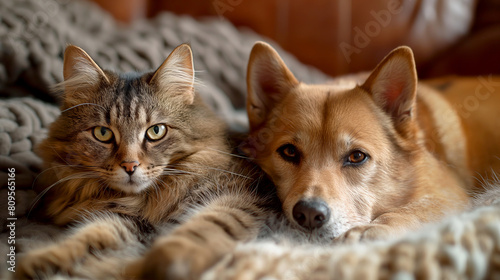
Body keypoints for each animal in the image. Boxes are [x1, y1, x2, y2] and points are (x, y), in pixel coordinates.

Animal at [17, 43, 276, 280]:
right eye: (103, 133)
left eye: (156, 131)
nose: (130, 166)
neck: (150, 200)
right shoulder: (133, 223)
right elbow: (89, 235)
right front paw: (39, 263)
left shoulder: (241, 196)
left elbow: (201, 230)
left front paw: (151, 266)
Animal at [242, 42, 500, 243]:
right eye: (289, 152)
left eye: (357, 156)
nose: (309, 214)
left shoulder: (450, 193)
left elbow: (415, 210)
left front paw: (375, 229)